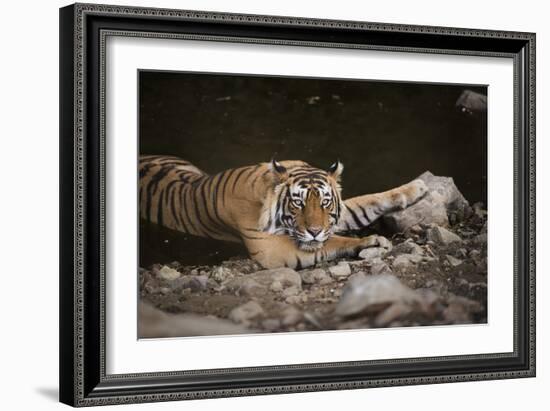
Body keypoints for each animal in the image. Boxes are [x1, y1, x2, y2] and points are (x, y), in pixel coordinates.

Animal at [140, 155, 430, 270]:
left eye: (325, 202)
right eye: (298, 203)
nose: (314, 231)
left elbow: (368, 201)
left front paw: (416, 187)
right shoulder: (271, 249)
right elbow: (336, 241)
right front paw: (371, 241)